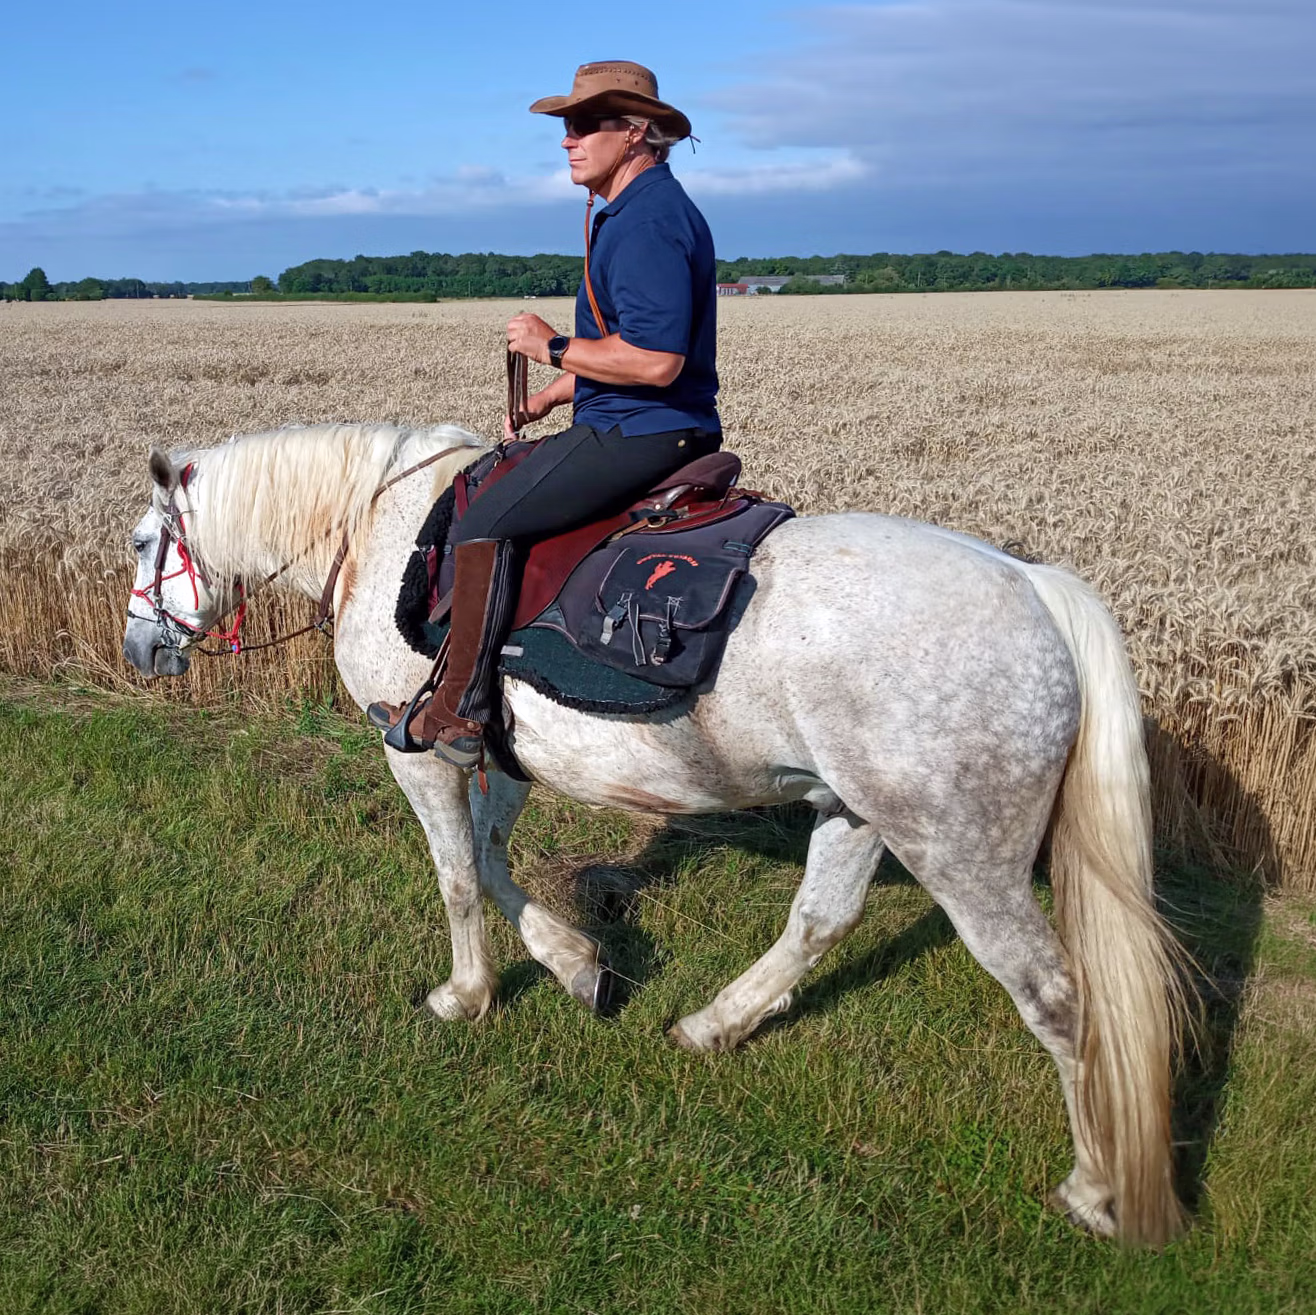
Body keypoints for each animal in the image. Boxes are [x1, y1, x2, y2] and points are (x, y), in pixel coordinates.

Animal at [120, 421, 1191, 1246]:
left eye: (140, 545)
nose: (137, 648)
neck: (374, 527)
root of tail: (1035, 584)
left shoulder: (422, 748)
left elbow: (457, 873)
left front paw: (467, 995)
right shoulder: (508, 751)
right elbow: (495, 863)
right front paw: (576, 965)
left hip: (964, 852)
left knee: (1056, 996)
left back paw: (1094, 1189)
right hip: (857, 810)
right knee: (821, 919)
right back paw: (714, 1023)